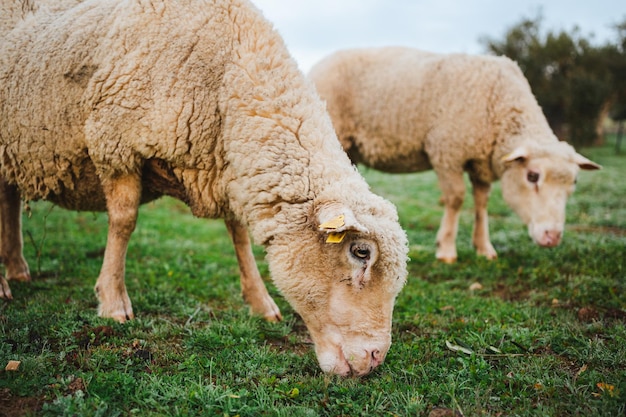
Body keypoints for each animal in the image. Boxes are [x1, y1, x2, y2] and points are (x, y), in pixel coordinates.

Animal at [0, 0, 410, 376]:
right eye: (360, 252)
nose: (376, 358)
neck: (229, 76)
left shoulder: (226, 167)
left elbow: (239, 235)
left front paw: (261, 303)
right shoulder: (114, 144)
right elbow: (124, 222)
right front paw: (113, 302)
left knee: (9, 199)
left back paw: (16, 269)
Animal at [310, 47, 596, 262]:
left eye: (574, 183)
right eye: (533, 176)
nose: (553, 238)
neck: (499, 103)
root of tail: (319, 64)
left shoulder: (480, 163)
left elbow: (481, 203)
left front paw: (484, 247)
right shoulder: (446, 152)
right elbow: (457, 199)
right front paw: (446, 249)